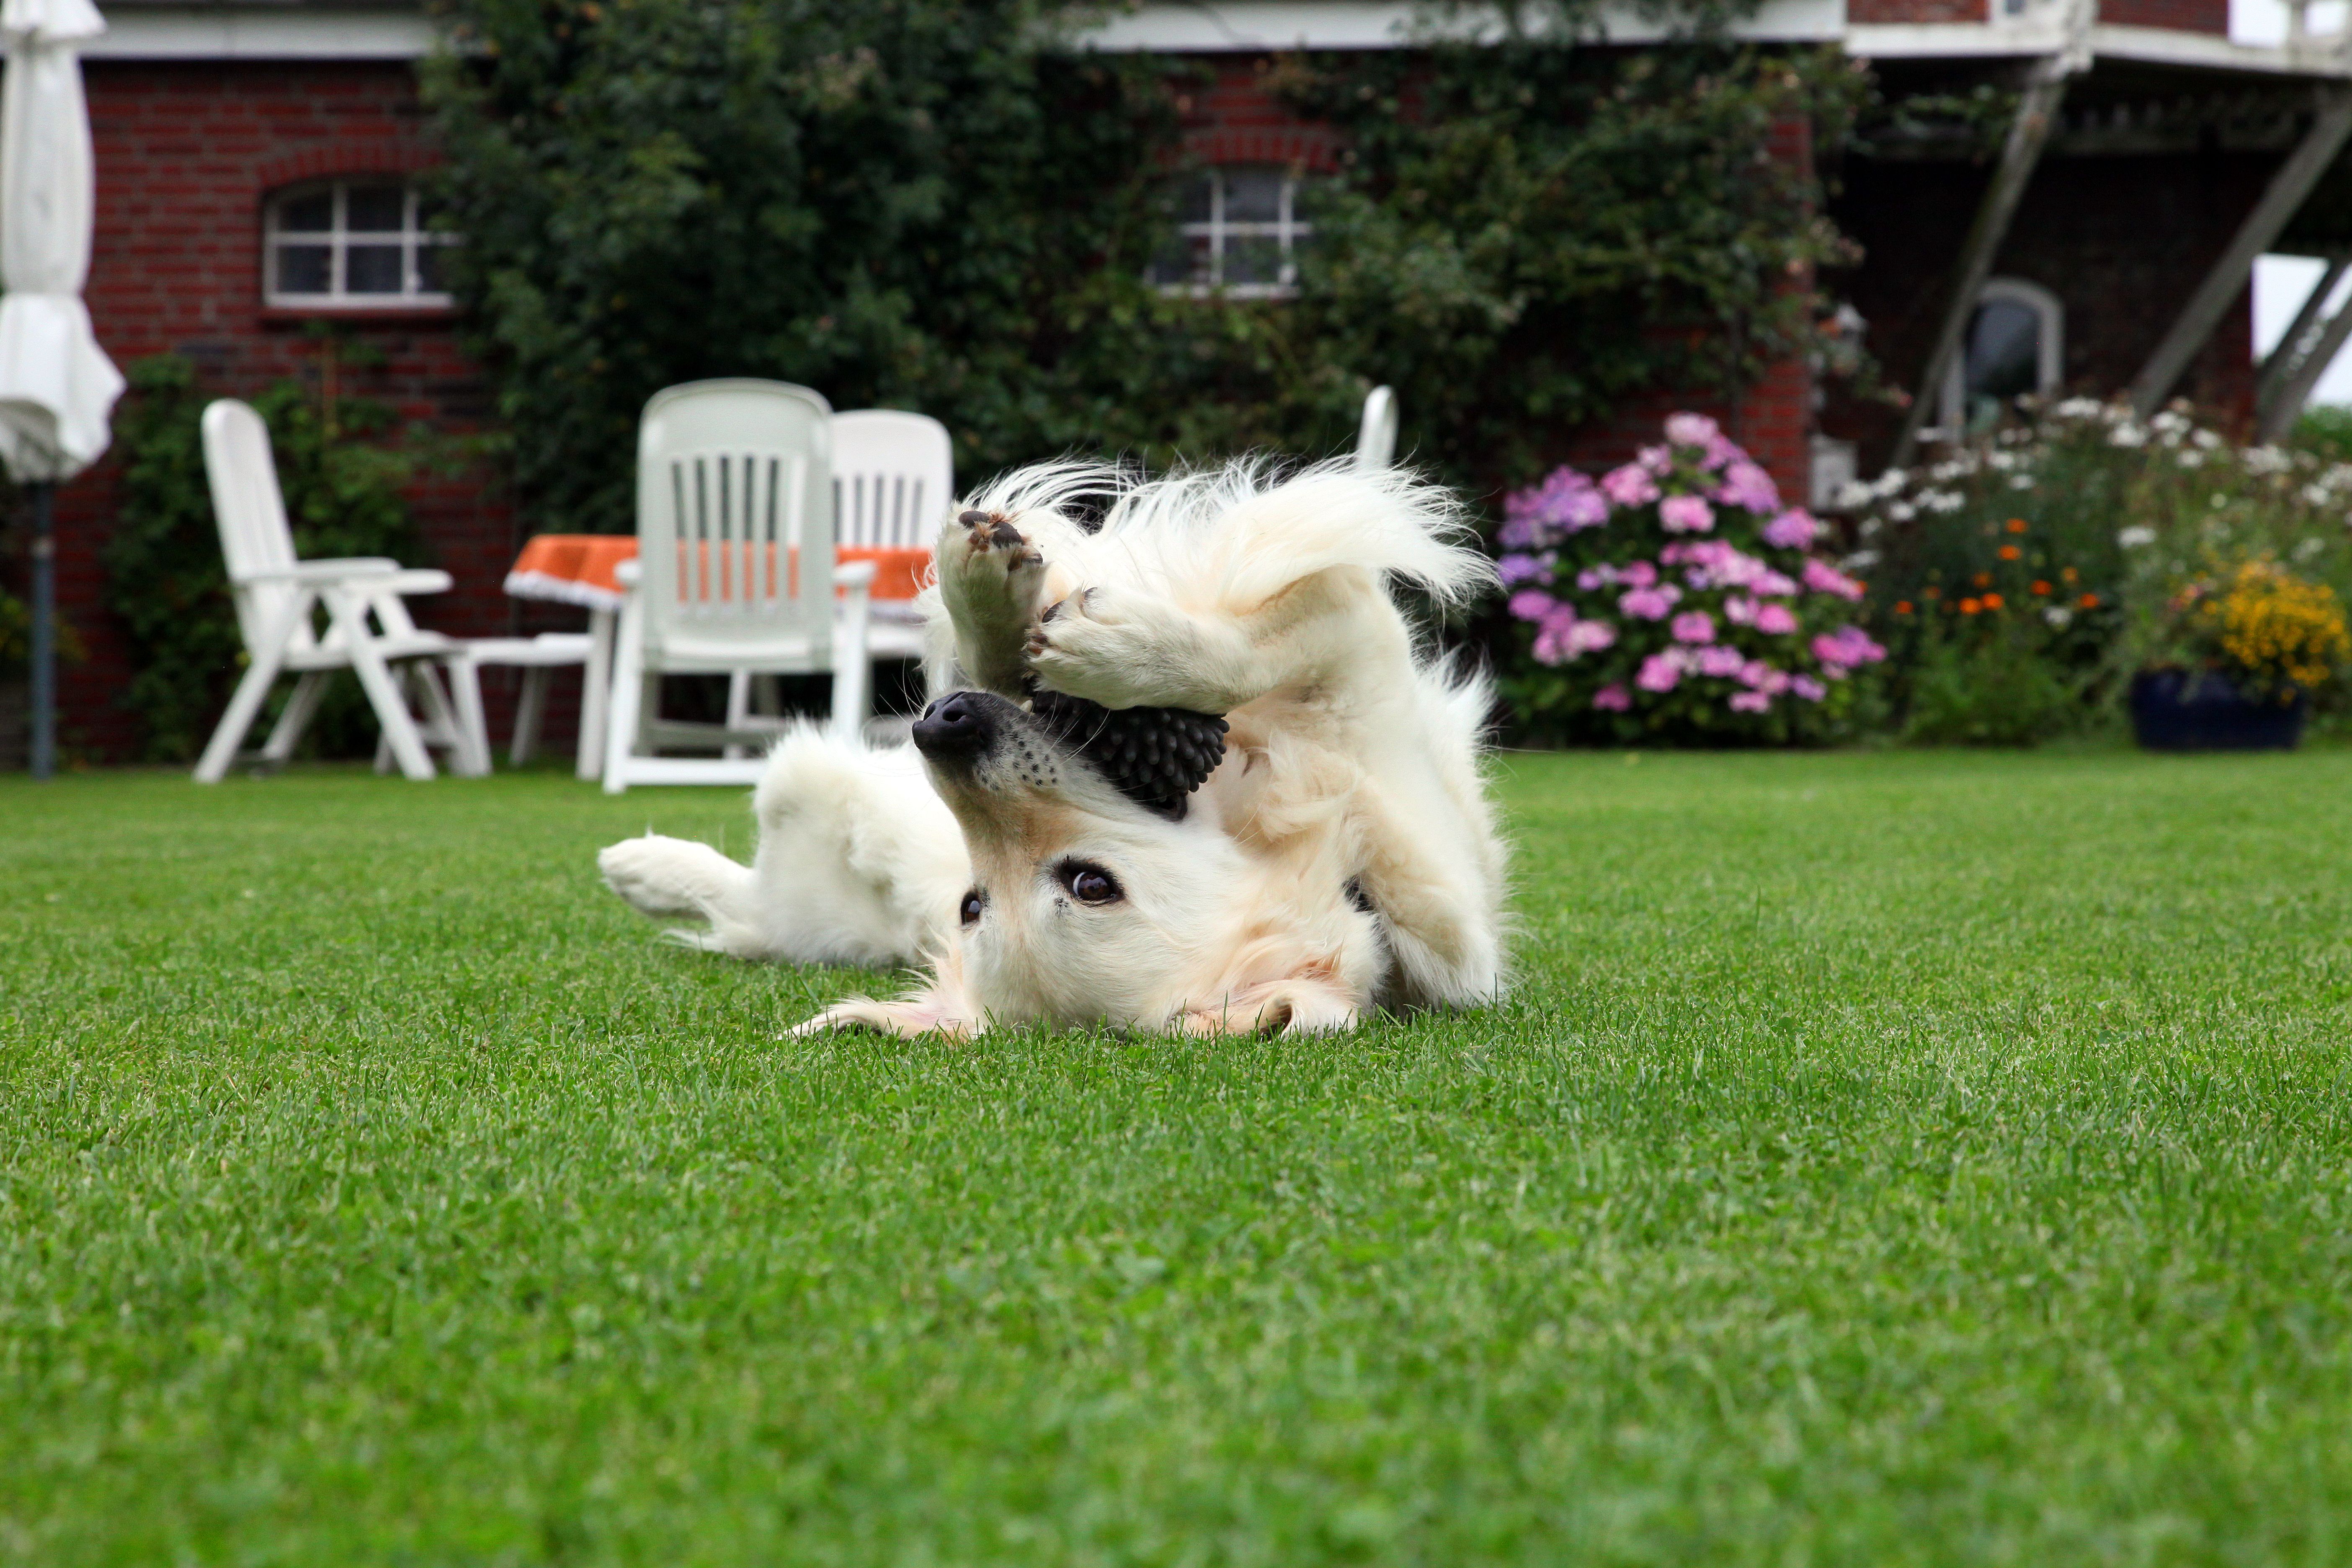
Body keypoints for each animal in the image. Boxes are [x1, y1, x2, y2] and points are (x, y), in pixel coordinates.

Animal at [593, 461, 1505, 1034]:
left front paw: (1116, 649)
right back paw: (642, 865)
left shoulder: (1361, 673)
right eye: (973, 905)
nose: (944, 723)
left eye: (1090, 883)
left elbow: (1246, 650)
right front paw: (997, 601)